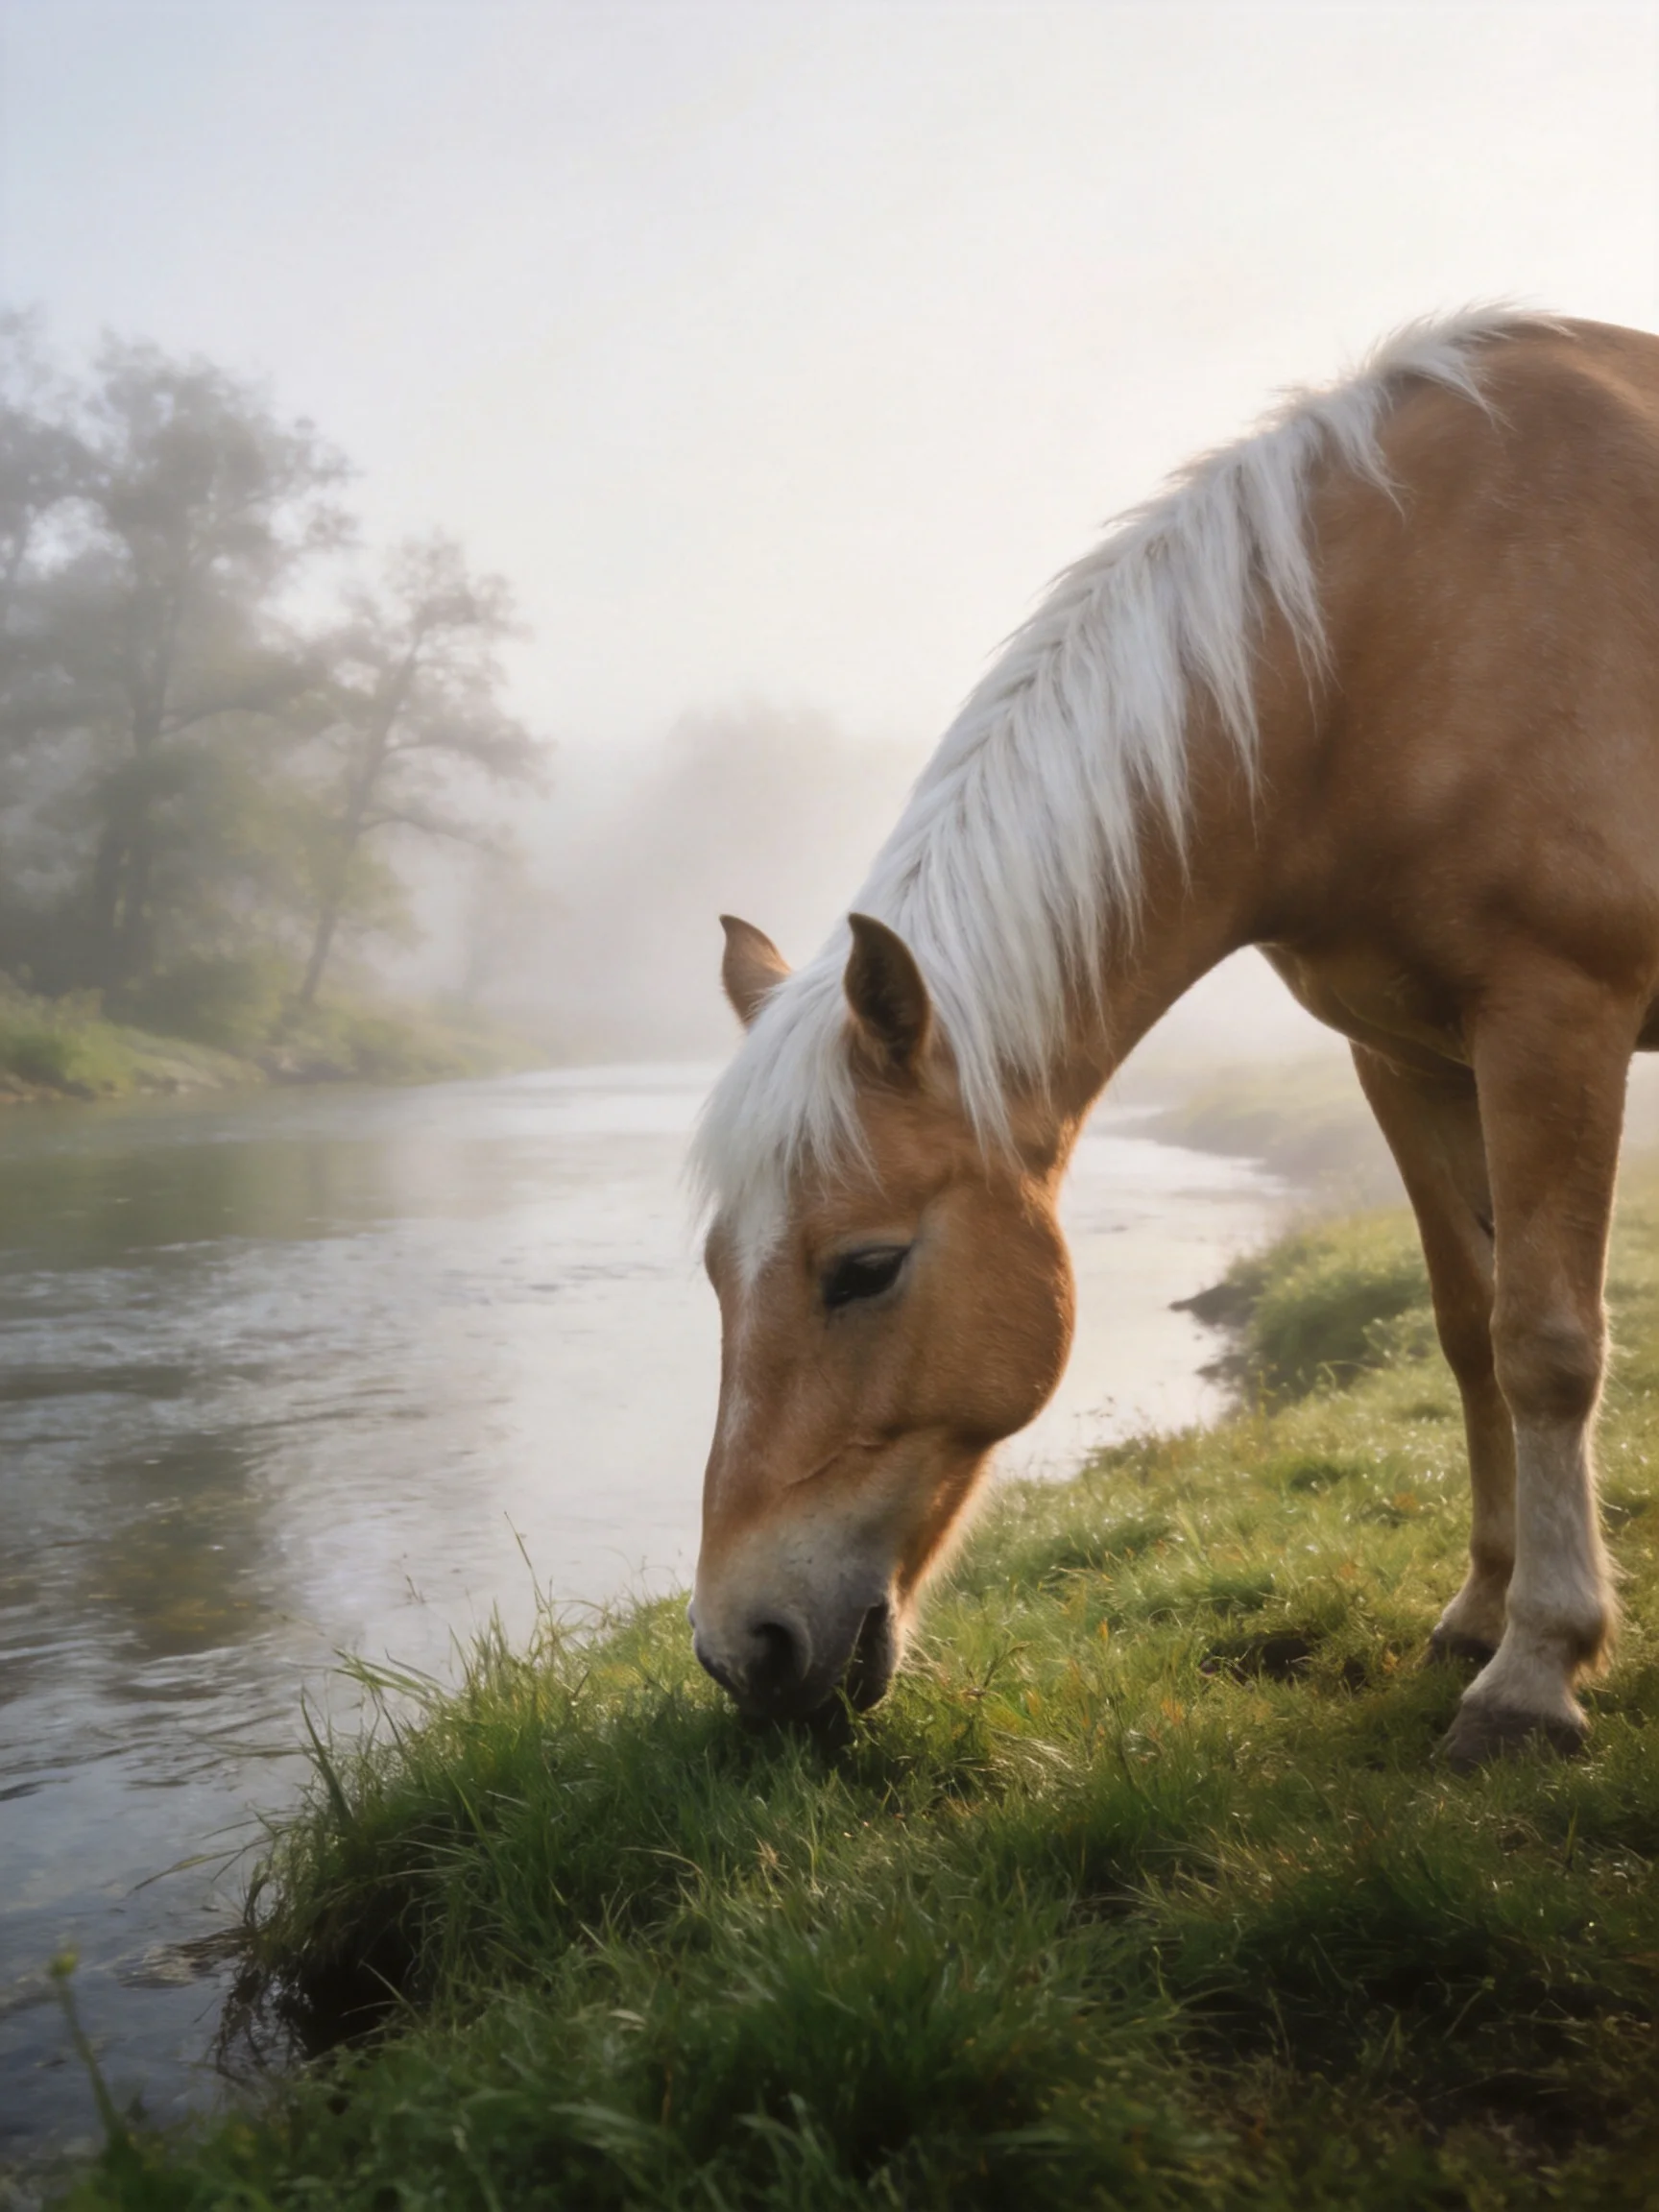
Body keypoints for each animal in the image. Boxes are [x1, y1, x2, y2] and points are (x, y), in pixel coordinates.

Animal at [688, 310, 1659, 1768]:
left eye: (864, 1269)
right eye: (713, 1274)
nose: (740, 1648)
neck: (1393, 636)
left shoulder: (1557, 1021)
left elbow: (1545, 1342)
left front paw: (1536, 1672)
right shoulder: (1410, 1057)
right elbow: (1467, 1327)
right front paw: (1481, 1615)